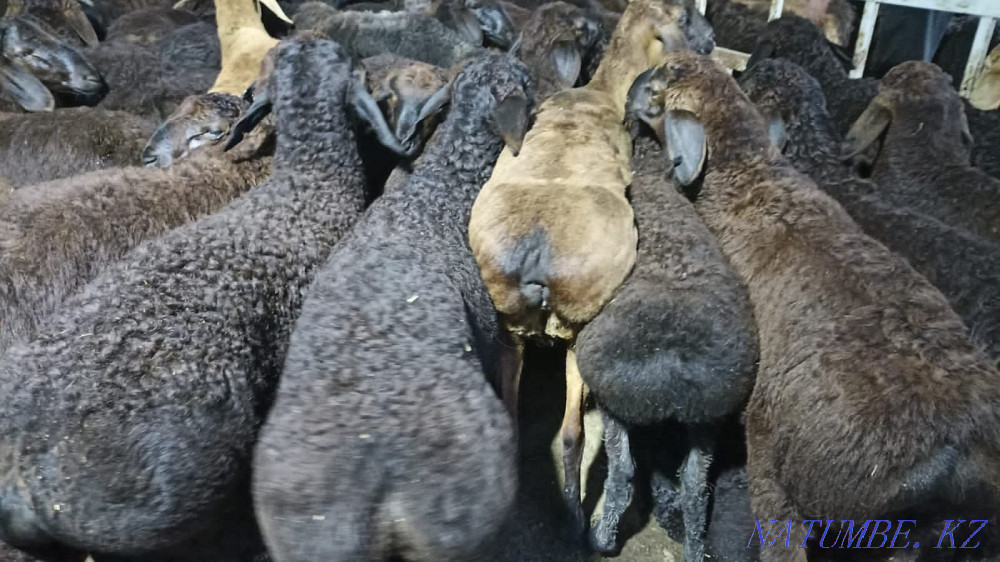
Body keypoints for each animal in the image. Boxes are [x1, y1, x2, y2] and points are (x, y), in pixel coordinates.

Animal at [467, 0, 714, 540]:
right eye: (685, 17)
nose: (710, 45)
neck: (598, 92)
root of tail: (536, 252)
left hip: (509, 326)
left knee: (515, 420)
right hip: (579, 331)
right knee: (570, 435)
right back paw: (575, 517)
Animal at [575, 130, 758, 560]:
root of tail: (673, 357)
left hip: (616, 401)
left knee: (623, 474)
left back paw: (601, 539)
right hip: (708, 415)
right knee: (695, 489)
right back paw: (693, 548)